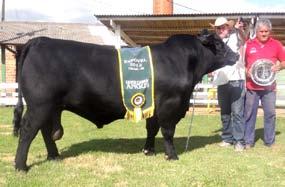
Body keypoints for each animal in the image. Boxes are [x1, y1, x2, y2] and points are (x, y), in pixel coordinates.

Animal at [12, 33, 235, 171]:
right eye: (219, 44)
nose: (234, 55)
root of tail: (40, 40)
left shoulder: (153, 106)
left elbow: (152, 128)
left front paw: (149, 150)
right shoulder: (170, 104)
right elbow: (167, 131)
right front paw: (171, 155)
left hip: (51, 106)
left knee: (45, 130)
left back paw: (54, 156)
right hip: (40, 104)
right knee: (28, 130)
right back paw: (21, 166)